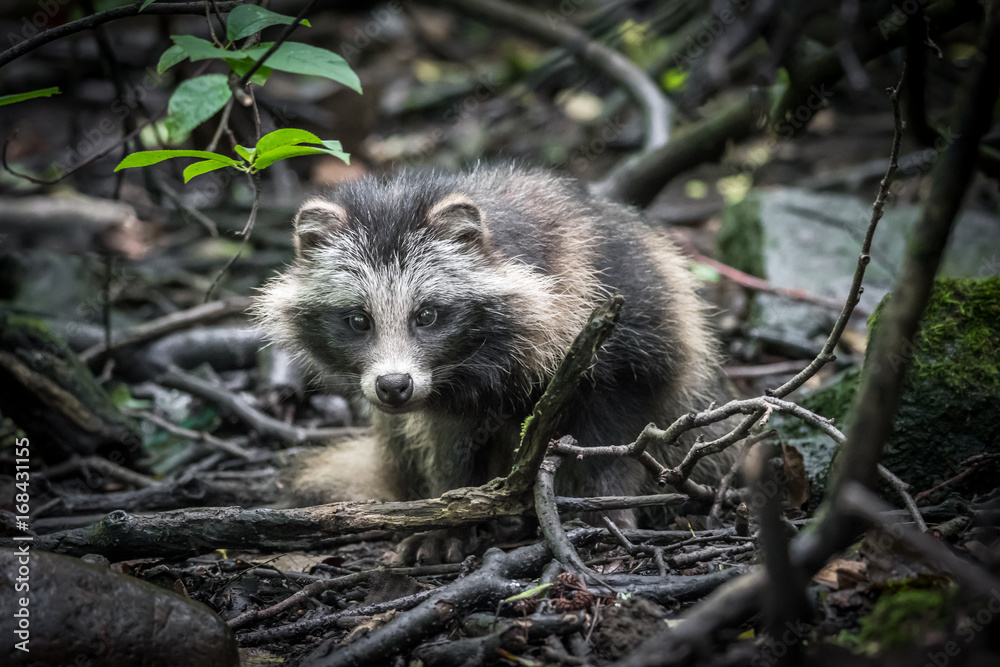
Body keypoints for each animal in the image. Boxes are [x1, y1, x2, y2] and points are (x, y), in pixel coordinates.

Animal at [255, 164, 727, 526]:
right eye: (358, 320)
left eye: (426, 315)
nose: (394, 386)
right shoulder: (447, 396)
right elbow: (449, 442)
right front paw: (450, 511)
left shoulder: (630, 313)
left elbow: (620, 426)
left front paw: (606, 501)